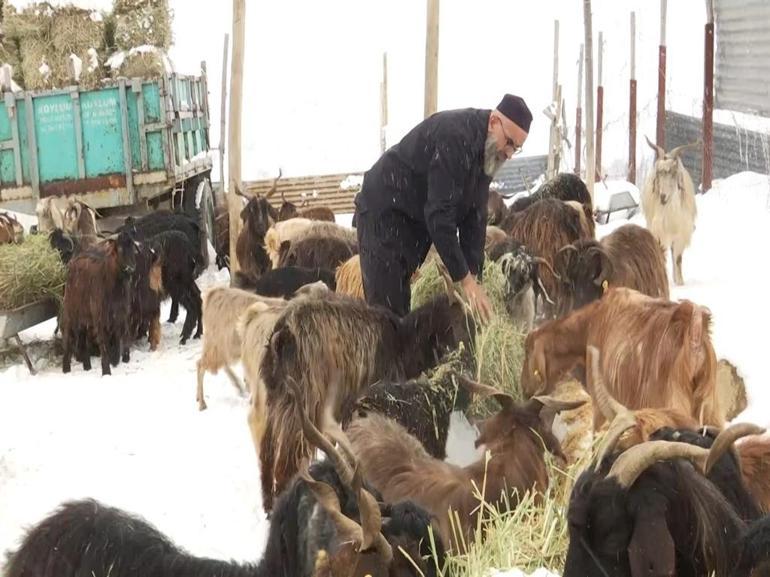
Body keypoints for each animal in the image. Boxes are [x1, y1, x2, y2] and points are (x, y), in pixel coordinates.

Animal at [61, 232, 140, 376]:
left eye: (133, 249)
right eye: (120, 249)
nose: (131, 269)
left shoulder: (120, 314)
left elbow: (119, 335)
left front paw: (116, 360)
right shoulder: (100, 316)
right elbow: (103, 341)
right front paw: (106, 370)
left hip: (86, 317)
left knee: (83, 338)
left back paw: (87, 366)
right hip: (70, 311)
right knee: (68, 337)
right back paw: (66, 369)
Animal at [255, 288, 472, 512]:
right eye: (457, 323)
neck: (403, 345)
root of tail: (282, 335)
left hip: (277, 400)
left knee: (266, 454)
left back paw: (268, 505)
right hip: (302, 406)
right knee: (285, 464)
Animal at [520, 286, 724, 428]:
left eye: (527, 353)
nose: (525, 391)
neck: (589, 324)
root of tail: (693, 332)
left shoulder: (601, 407)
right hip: (710, 413)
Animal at [640, 137, 700, 286]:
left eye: (673, 173)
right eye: (658, 173)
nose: (662, 197)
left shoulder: (681, 234)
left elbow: (678, 258)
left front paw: (680, 282)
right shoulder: (659, 232)